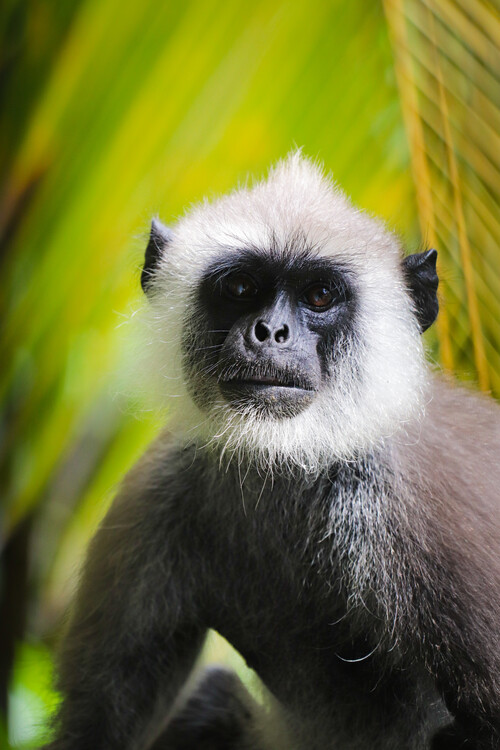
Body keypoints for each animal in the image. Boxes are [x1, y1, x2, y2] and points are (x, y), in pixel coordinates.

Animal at [44, 153, 500, 750]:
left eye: (320, 296)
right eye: (240, 286)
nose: (271, 331)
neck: (290, 462)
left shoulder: (415, 507)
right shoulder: (156, 488)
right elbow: (96, 725)